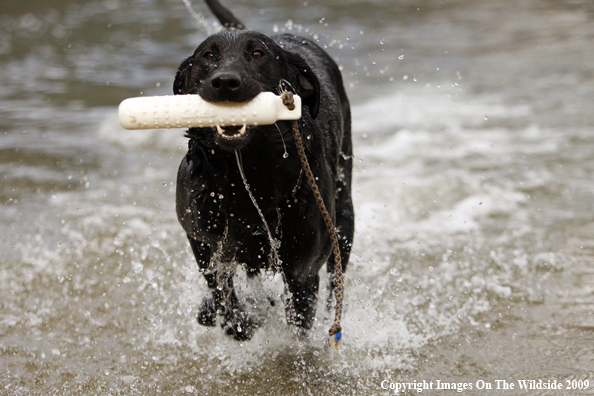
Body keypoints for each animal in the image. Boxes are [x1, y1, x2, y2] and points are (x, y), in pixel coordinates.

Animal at [173, 0, 354, 340]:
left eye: (258, 54)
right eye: (208, 56)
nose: (225, 81)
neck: (247, 175)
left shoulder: (302, 270)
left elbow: (298, 325)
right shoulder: (203, 243)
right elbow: (225, 299)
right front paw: (236, 317)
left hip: (344, 217)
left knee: (336, 282)